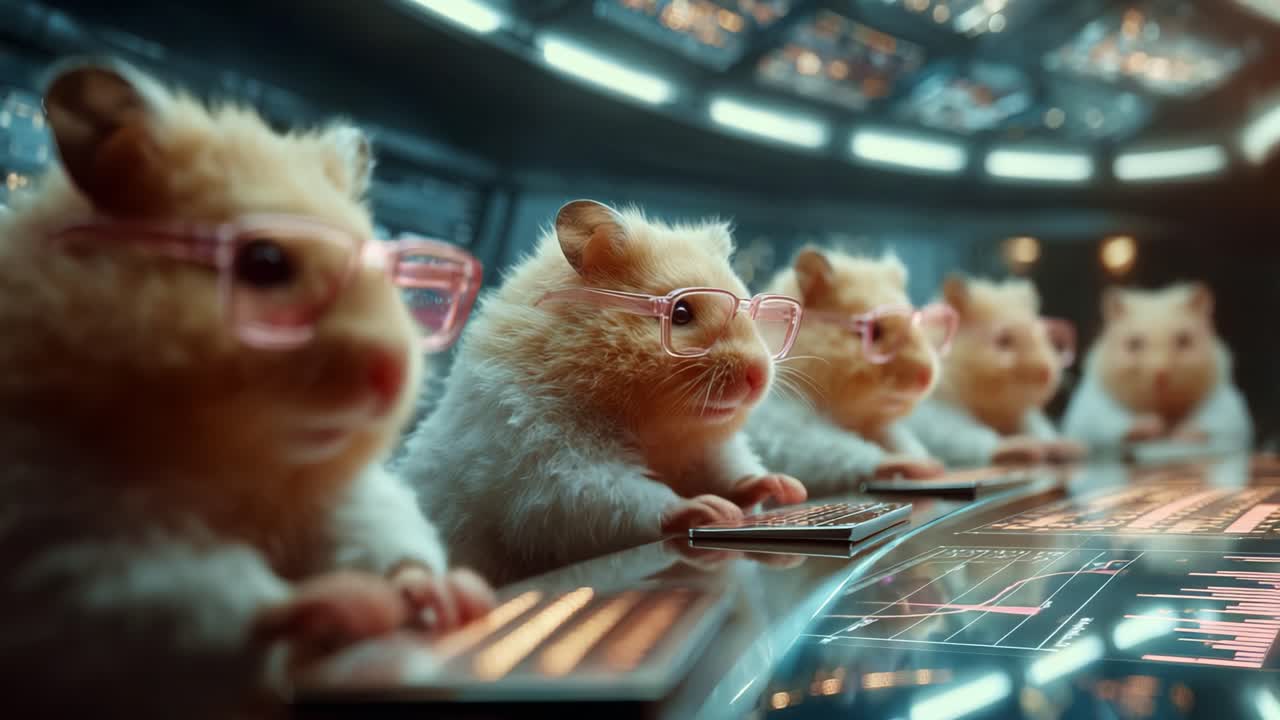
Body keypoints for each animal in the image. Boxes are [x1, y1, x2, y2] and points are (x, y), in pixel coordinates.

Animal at [0, 59, 492, 718]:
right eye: (264, 263)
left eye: (392, 276)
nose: (392, 378)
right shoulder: (61, 540)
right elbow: (192, 595)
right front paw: (351, 606)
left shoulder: (345, 499)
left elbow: (387, 536)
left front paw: (453, 595)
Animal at [400, 199, 806, 586]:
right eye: (681, 313)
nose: (759, 375)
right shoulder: (547, 462)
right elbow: (615, 494)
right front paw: (710, 509)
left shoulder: (706, 449)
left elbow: (731, 470)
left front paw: (787, 488)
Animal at [745, 247, 945, 495]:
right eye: (874, 331)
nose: (926, 377)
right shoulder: (783, 427)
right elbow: (837, 445)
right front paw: (921, 466)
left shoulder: (878, 427)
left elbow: (897, 438)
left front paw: (933, 463)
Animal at [904, 274, 1084, 467]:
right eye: (1003, 341)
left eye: (1043, 338)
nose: (1047, 374)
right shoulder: (940, 417)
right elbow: (970, 434)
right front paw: (1026, 447)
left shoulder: (1024, 415)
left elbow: (1038, 428)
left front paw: (1067, 447)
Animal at [1062, 283, 1252, 450]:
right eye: (1134, 344)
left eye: (1183, 341)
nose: (1161, 374)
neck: (1162, 409)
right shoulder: (1091, 413)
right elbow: (1117, 423)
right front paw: (1153, 426)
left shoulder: (1229, 412)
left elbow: (1212, 425)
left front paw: (1181, 431)